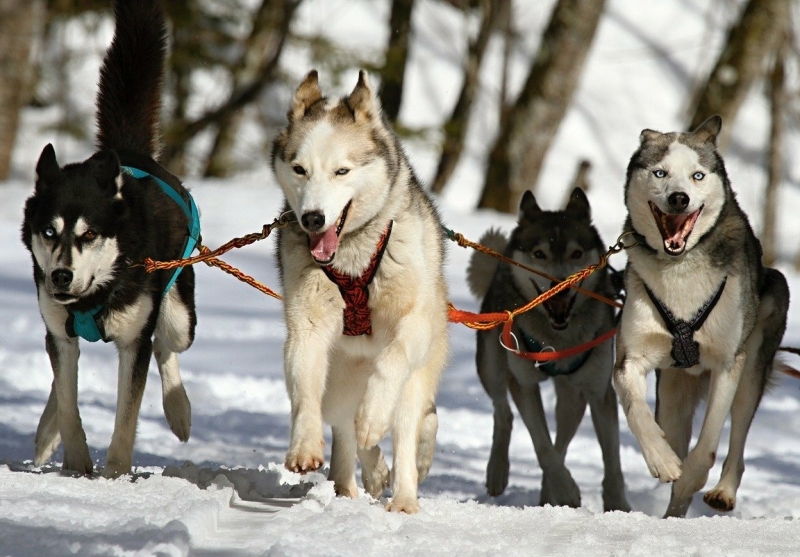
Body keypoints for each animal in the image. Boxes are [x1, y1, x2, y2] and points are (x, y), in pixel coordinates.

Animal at [20, 1, 197, 478]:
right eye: (49, 231)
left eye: (90, 233)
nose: (61, 276)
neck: (94, 296)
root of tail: (129, 153)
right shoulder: (59, 331)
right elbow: (67, 400)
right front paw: (76, 464)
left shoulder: (133, 342)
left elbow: (127, 416)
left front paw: (115, 474)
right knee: (59, 377)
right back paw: (46, 433)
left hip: (178, 316)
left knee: (167, 346)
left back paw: (179, 410)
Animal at [272, 69, 450, 512]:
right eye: (299, 169)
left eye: (342, 171)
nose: (313, 218)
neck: (352, 257)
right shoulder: (306, 328)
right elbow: (304, 390)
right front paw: (304, 446)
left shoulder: (412, 324)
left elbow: (391, 362)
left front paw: (373, 416)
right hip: (339, 381)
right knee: (344, 427)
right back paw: (355, 480)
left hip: (417, 376)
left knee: (405, 426)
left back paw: (402, 497)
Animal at [468, 189, 632, 510]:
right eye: (539, 254)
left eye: (576, 254)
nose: (561, 285)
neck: (558, 338)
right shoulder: (524, 384)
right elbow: (542, 445)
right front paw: (567, 490)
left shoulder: (598, 391)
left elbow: (612, 460)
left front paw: (618, 505)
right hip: (491, 366)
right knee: (503, 413)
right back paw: (498, 472)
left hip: (573, 396)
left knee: (563, 439)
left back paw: (547, 494)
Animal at [612, 116, 788, 516]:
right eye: (660, 172)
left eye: (697, 175)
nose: (679, 198)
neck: (680, 269)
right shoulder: (630, 358)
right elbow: (636, 410)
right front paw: (662, 460)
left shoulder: (727, 363)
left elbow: (707, 445)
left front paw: (692, 475)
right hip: (672, 395)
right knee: (674, 430)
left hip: (752, 367)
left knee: (737, 440)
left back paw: (722, 491)